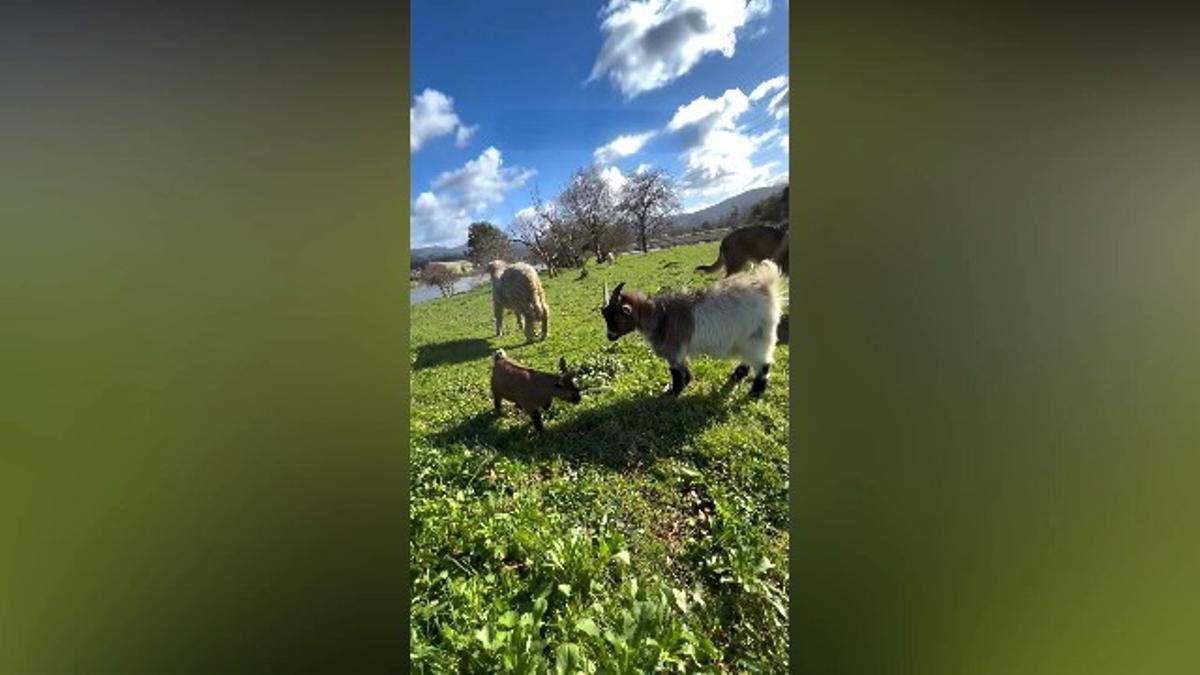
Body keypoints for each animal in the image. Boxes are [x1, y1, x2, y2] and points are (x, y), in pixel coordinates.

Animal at [600, 260, 783, 397]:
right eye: (605, 316)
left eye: (615, 318)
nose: (609, 336)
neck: (657, 314)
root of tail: (766, 288)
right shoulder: (680, 351)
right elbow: (684, 368)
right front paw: (685, 382)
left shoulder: (673, 350)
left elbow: (675, 371)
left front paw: (674, 391)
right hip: (746, 339)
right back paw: (738, 374)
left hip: (757, 336)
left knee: (763, 364)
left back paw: (755, 391)